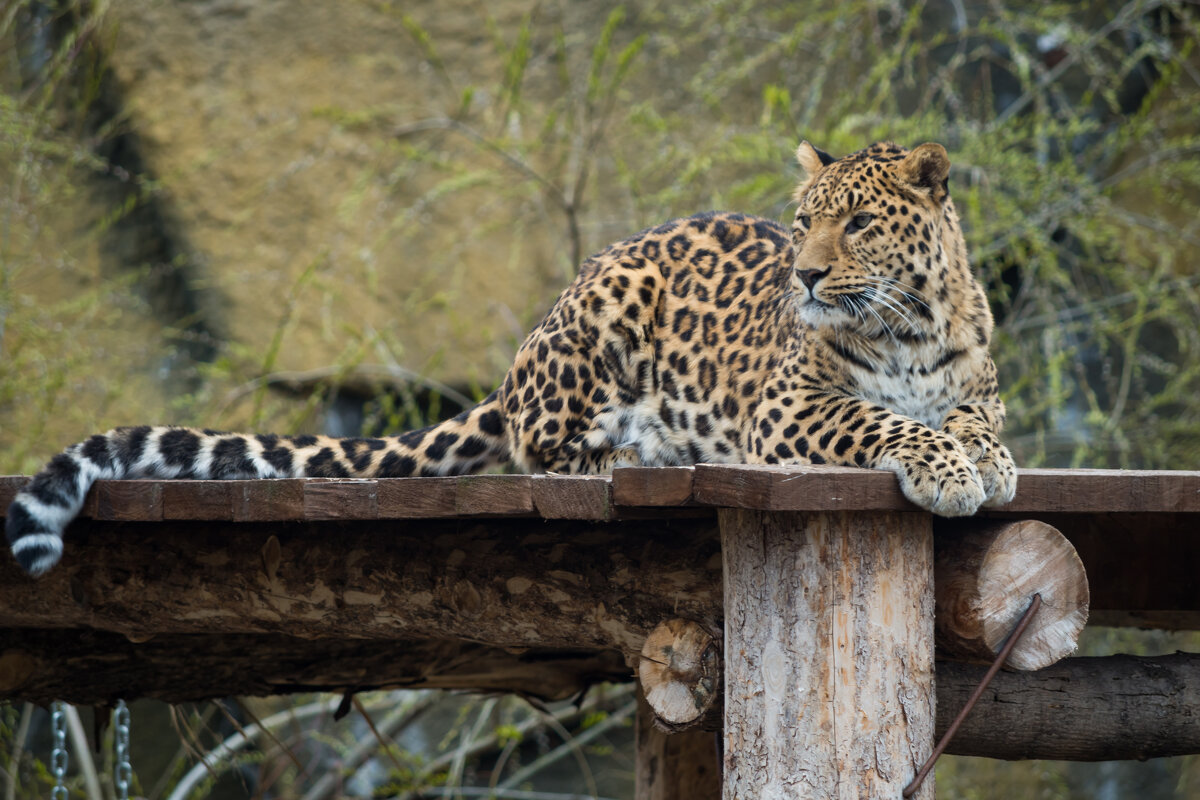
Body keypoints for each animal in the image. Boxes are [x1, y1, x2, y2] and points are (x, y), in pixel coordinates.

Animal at [7, 139, 1012, 575]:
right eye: (804, 223)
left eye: (859, 224)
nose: (804, 274)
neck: (909, 325)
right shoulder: (790, 406)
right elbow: (880, 419)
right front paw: (948, 470)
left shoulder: (977, 383)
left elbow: (970, 416)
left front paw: (989, 462)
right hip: (605, 317)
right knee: (547, 450)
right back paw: (638, 454)